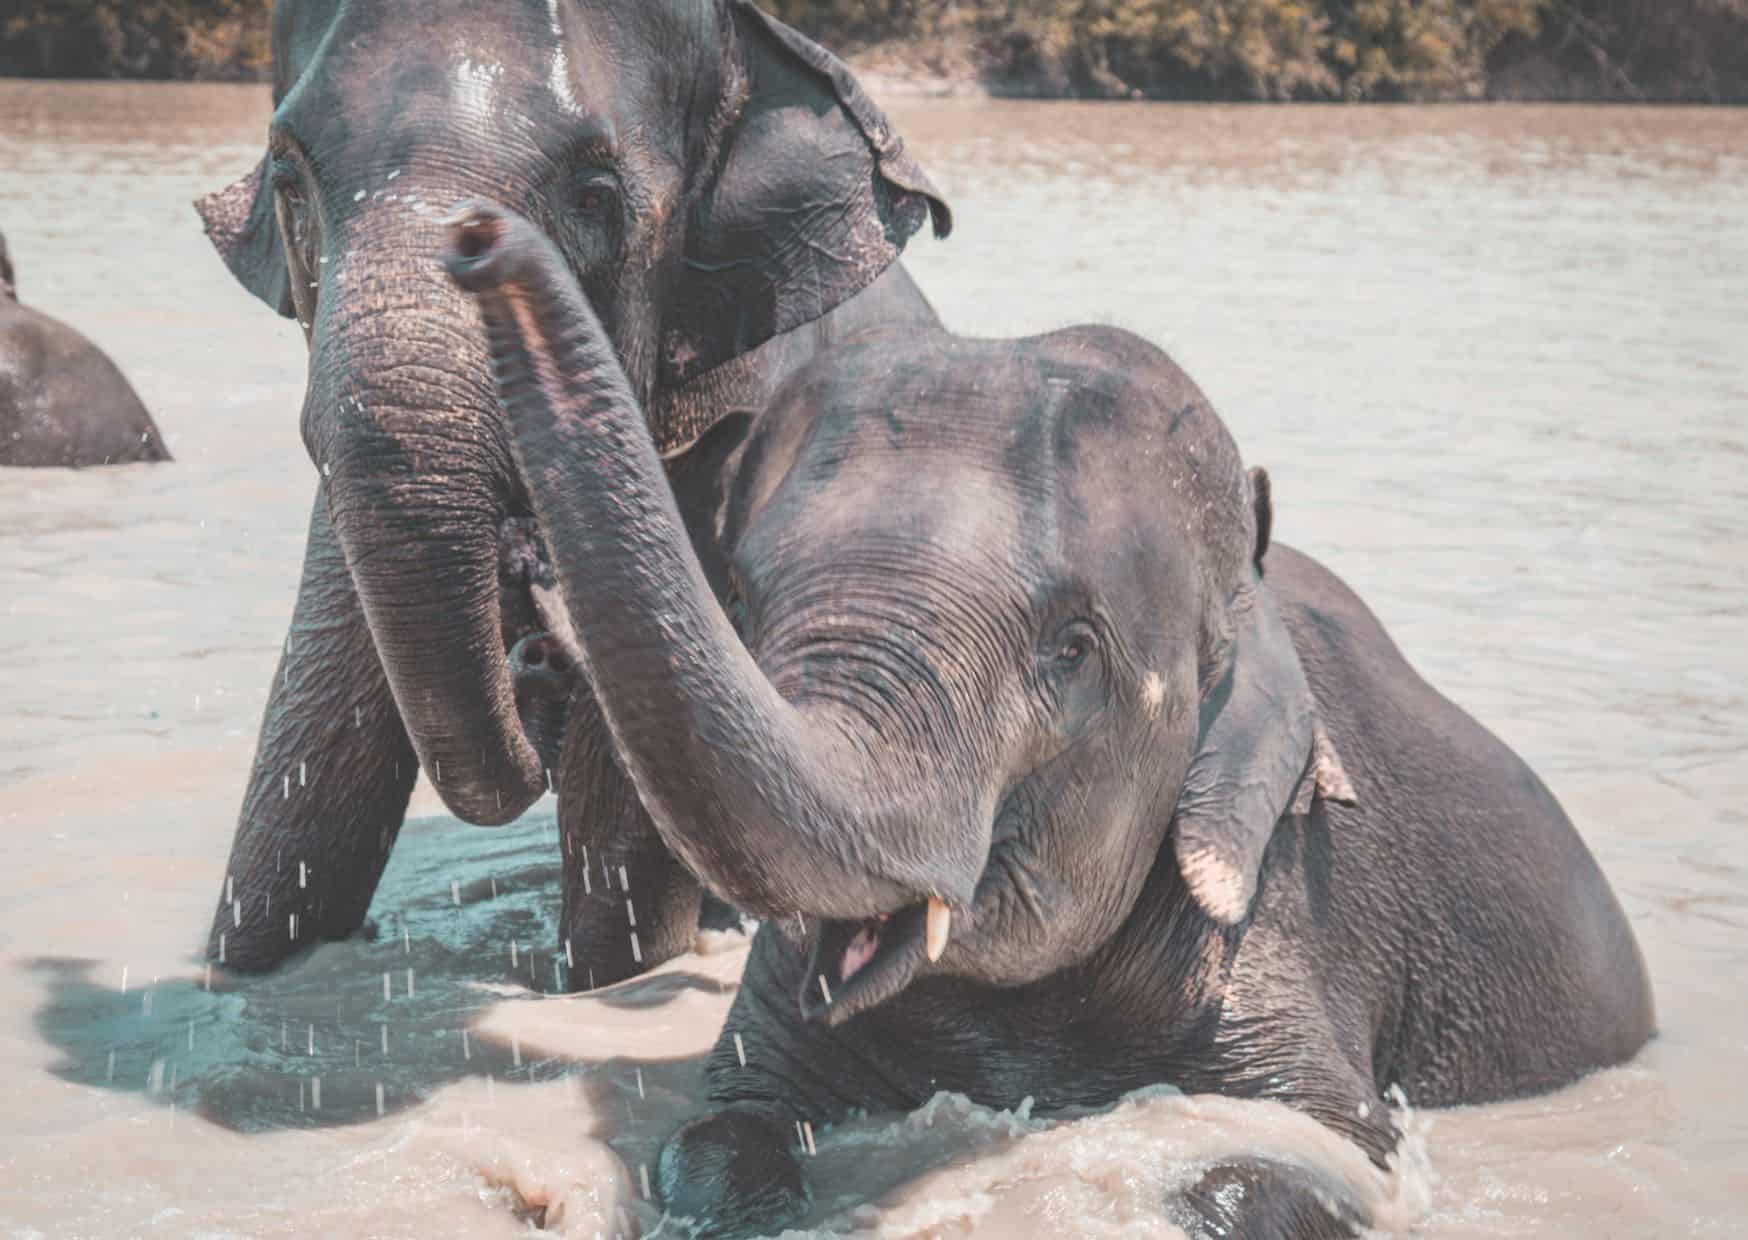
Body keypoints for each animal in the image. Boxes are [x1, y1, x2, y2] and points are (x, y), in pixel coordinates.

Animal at [444, 203, 1657, 1239]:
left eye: (1070, 650)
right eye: (735, 593)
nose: (478, 238)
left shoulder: (1290, 903)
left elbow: (1315, 1148)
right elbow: (720, 1130)